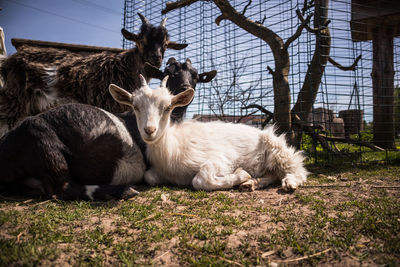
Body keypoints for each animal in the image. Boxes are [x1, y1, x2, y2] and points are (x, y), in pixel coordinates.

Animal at [0, 13, 187, 136]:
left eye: (165, 44)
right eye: (140, 40)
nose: (156, 58)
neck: (125, 68)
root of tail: (9, 61)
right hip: (13, 102)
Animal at [108, 76, 308, 193]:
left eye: (167, 107)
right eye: (135, 106)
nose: (149, 130)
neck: (171, 146)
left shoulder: (220, 159)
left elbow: (201, 180)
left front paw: (241, 175)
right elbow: (148, 177)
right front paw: (245, 179)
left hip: (278, 149)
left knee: (297, 168)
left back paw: (289, 182)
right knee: (273, 174)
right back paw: (253, 183)